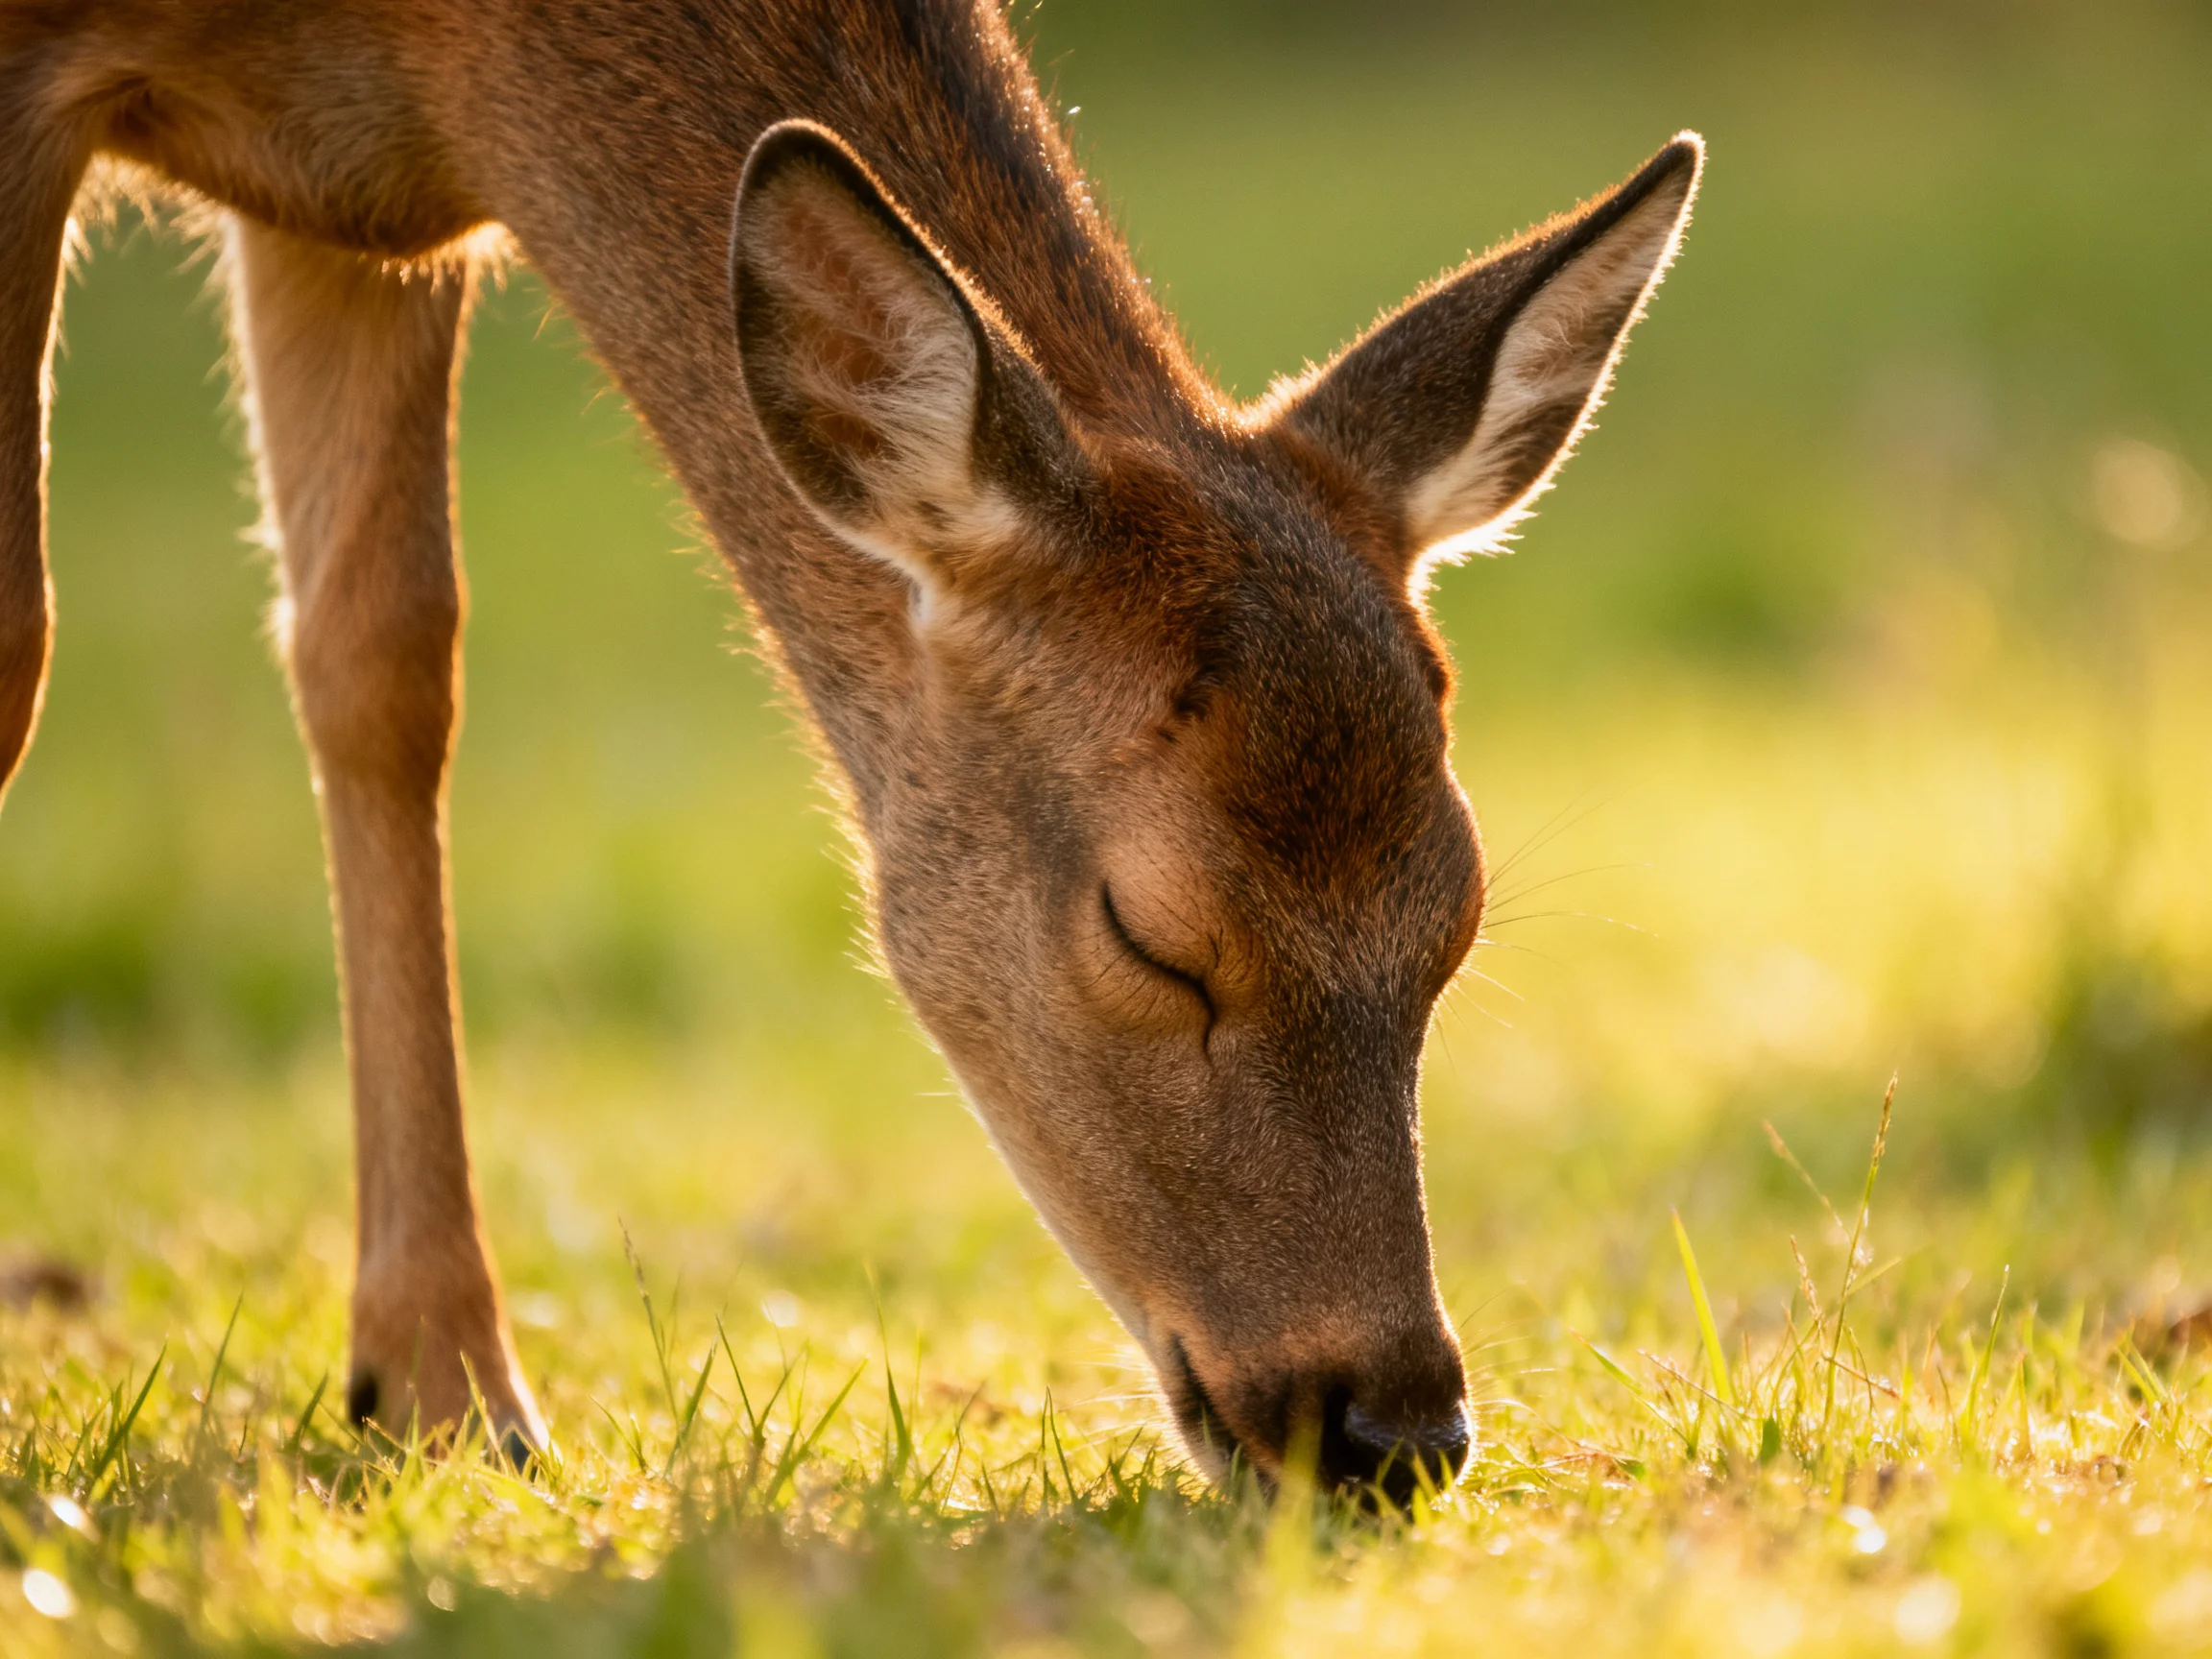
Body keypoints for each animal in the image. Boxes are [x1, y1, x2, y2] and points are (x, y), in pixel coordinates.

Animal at [0, 0, 1699, 1504]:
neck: (431, 46)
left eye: (1457, 921)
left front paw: (444, 1396)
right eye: (1151, 936)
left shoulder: (363, 215)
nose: (1389, 1433)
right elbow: (23, 647)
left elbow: (383, 664)